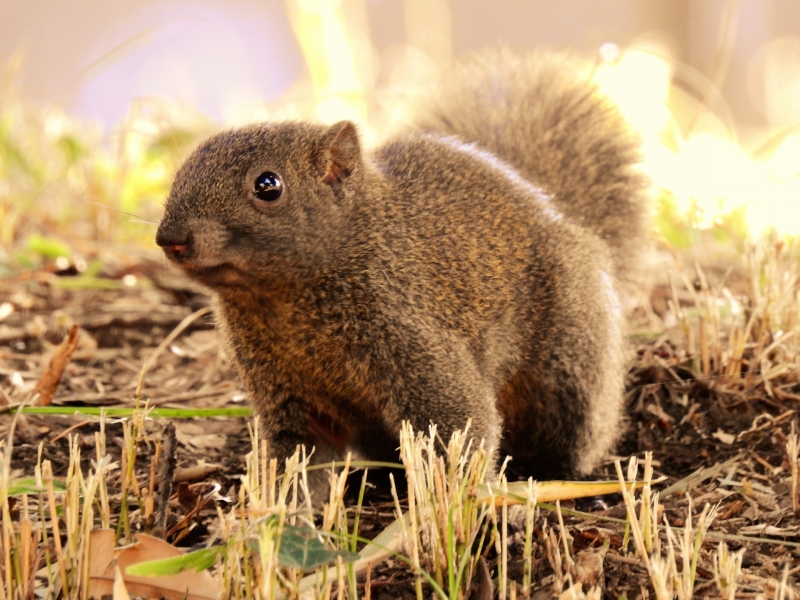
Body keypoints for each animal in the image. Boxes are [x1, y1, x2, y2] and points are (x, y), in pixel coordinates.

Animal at [156, 48, 648, 506]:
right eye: (180, 173)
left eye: (268, 186)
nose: (170, 238)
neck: (281, 301)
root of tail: (557, 210)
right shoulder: (291, 399)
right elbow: (296, 464)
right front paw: (274, 518)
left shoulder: (413, 335)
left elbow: (459, 427)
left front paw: (459, 504)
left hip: (570, 365)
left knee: (573, 434)